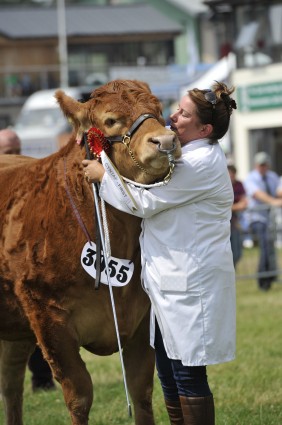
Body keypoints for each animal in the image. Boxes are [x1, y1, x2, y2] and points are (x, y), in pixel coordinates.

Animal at [0, 80, 181, 424]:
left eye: (158, 110)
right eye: (110, 120)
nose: (165, 140)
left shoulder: (142, 319)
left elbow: (141, 391)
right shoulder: (47, 317)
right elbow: (80, 395)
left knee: (11, 384)